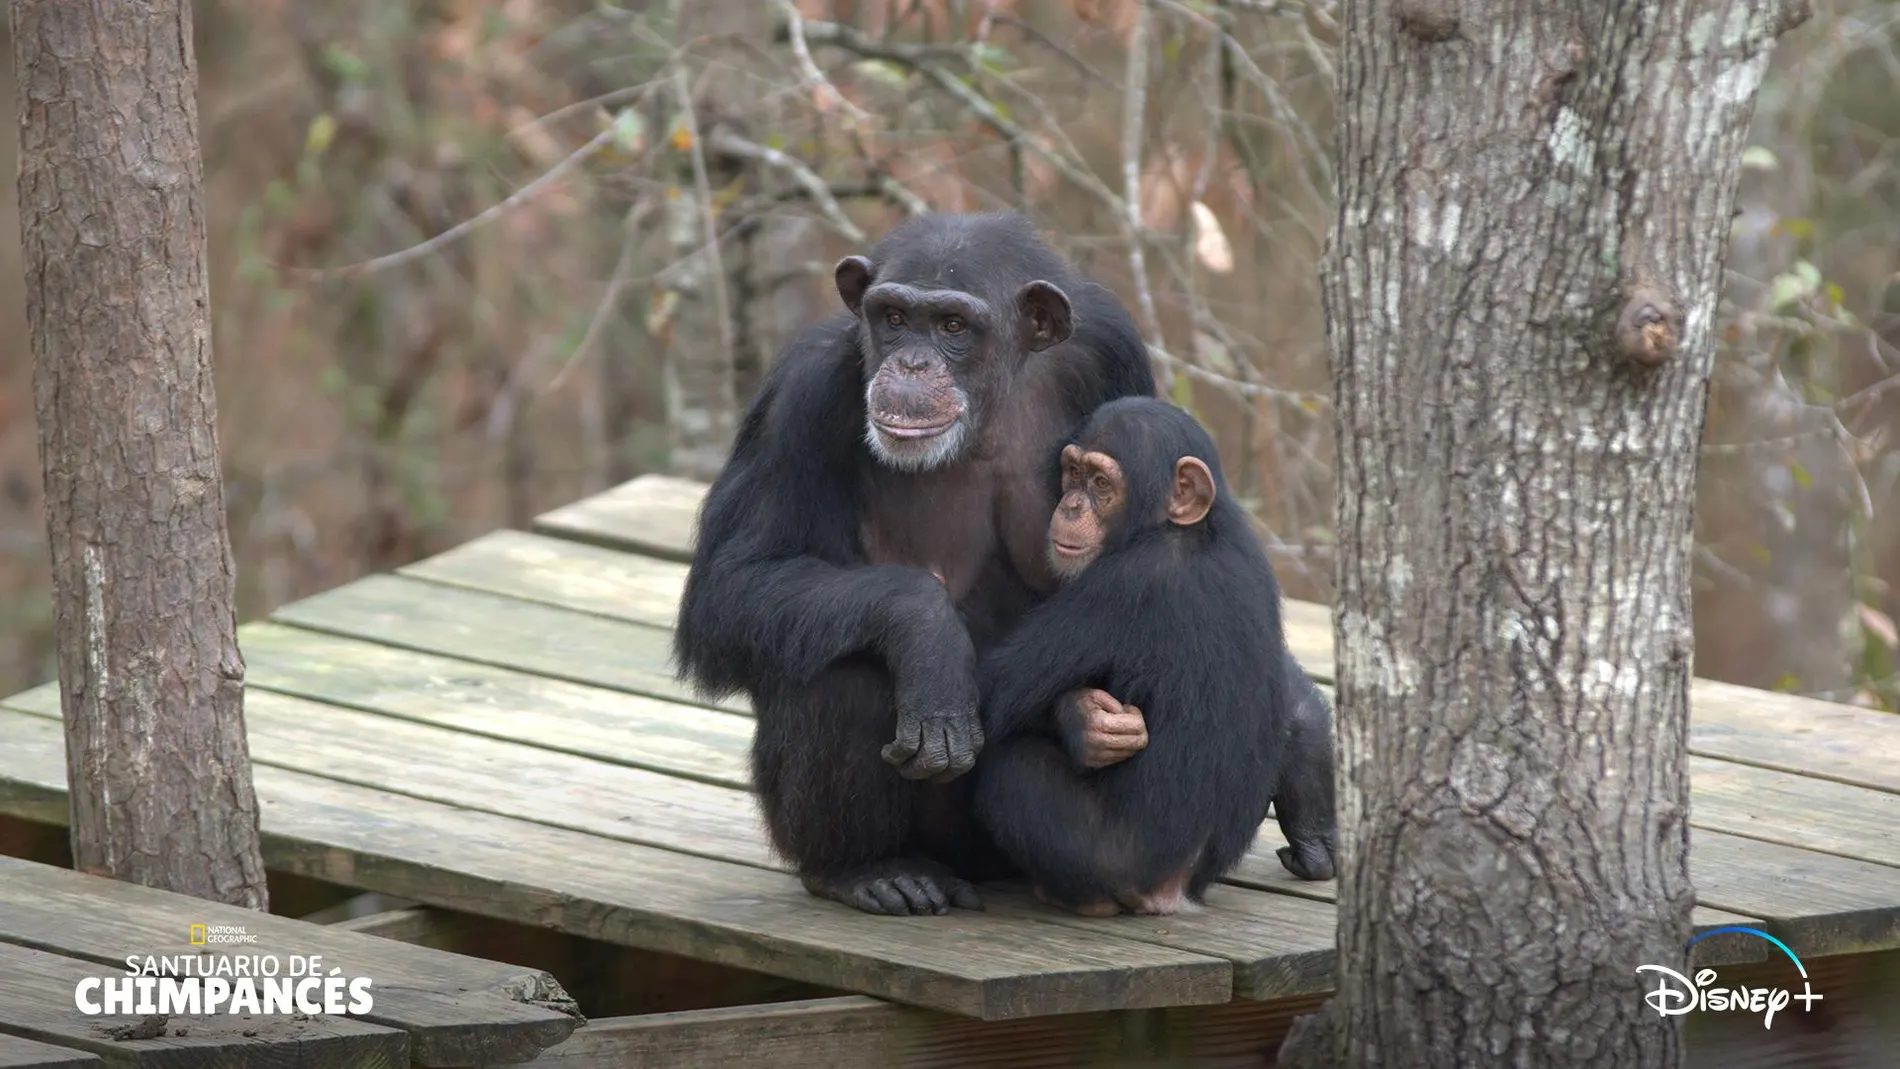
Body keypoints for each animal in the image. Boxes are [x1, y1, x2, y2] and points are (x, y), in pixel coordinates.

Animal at [684, 213, 1155, 915]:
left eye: (953, 326)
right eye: (895, 317)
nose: (910, 361)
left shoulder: (1115, 354)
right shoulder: (801, 393)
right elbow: (727, 587)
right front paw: (929, 637)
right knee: (845, 671)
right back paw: (867, 869)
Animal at [972, 396, 1345, 915]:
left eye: (1101, 484)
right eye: (1073, 473)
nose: (1070, 504)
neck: (1185, 531)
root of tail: (1175, 894)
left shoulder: (1125, 586)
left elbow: (986, 690)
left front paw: (1080, 719)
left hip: (1114, 863)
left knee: (1011, 766)